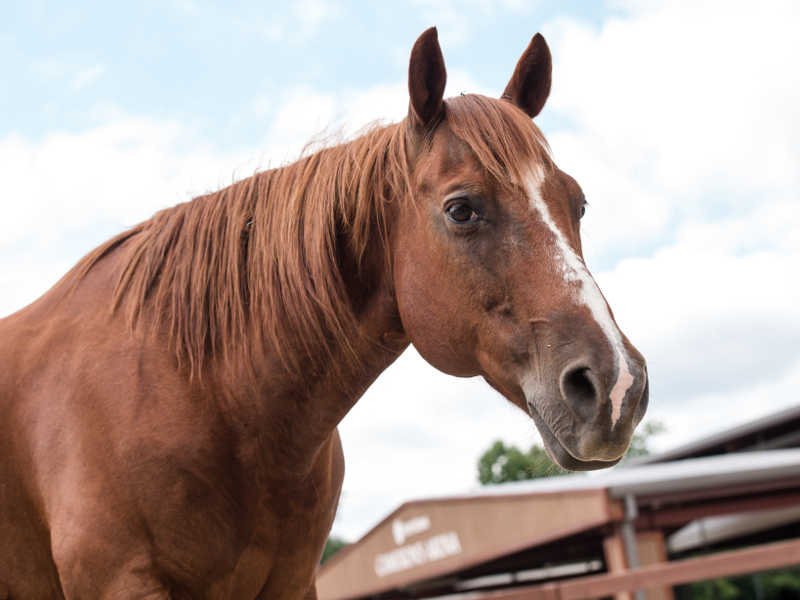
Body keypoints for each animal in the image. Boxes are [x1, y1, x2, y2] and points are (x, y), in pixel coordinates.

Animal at [0, 28, 648, 600]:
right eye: (461, 209)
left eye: (578, 203)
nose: (616, 386)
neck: (202, 392)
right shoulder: (119, 581)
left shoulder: (291, 582)